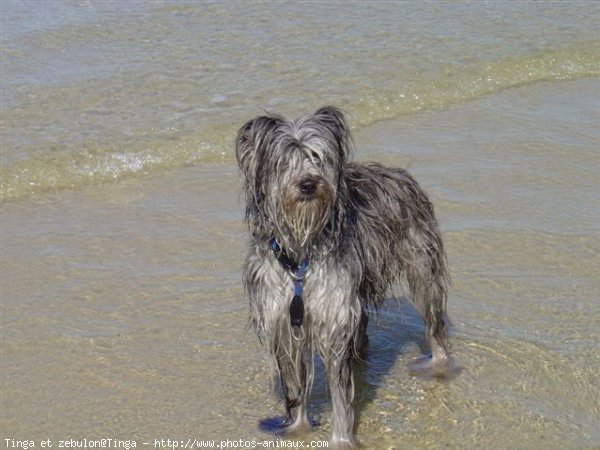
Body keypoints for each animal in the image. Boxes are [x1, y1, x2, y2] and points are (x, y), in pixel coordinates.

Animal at [237, 107, 452, 448]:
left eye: (317, 157)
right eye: (285, 161)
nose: (308, 184)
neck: (300, 258)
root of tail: (401, 175)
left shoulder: (333, 314)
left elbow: (339, 391)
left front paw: (340, 438)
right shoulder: (282, 320)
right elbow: (294, 385)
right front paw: (296, 428)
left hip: (421, 267)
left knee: (435, 324)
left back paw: (439, 367)